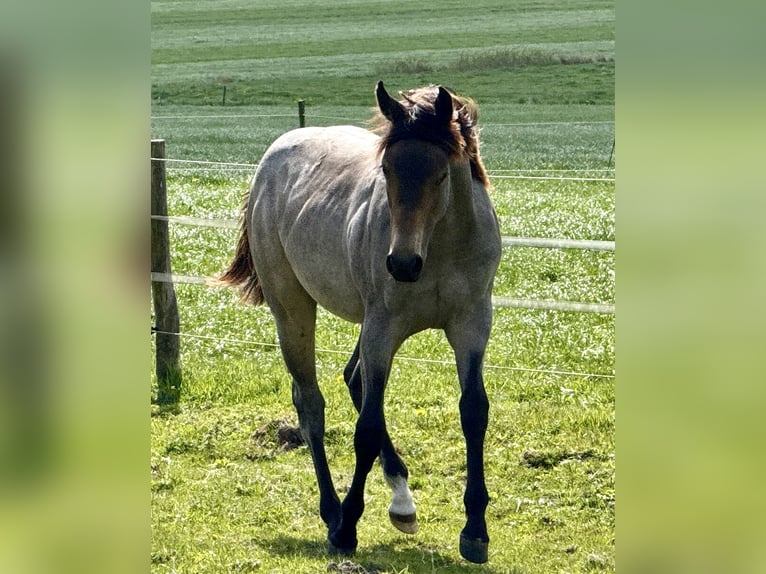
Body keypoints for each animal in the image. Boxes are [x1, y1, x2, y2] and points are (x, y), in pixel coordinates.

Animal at [218, 81, 501, 563]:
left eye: (441, 175)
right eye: (386, 169)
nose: (402, 264)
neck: (439, 248)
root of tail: (271, 159)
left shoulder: (472, 325)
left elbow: (473, 411)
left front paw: (476, 530)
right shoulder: (382, 328)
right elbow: (366, 428)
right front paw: (347, 526)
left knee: (352, 379)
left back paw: (402, 503)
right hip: (295, 311)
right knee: (311, 404)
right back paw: (333, 511)